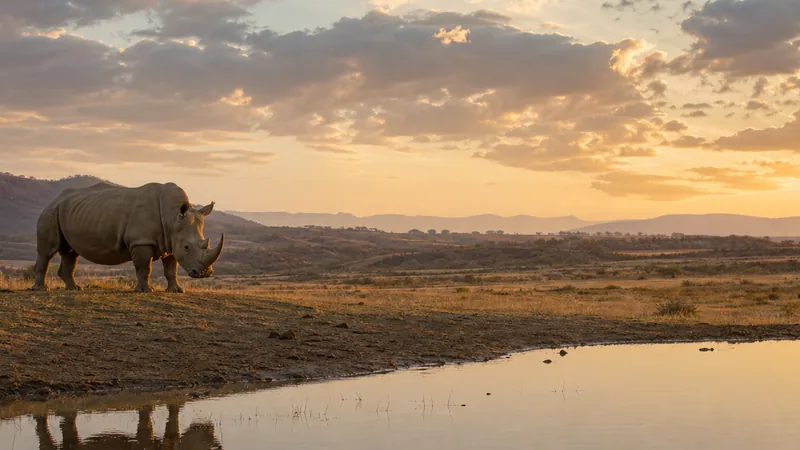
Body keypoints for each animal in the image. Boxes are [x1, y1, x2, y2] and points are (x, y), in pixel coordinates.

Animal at [31, 182, 224, 293]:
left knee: (71, 252)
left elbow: (171, 269)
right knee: (47, 252)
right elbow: (144, 267)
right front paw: (145, 291)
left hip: (69, 211)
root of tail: (55, 199)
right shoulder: (141, 241)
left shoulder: (170, 242)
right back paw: (41, 289)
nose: (204, 274)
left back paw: (74, 289)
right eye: (187, 247)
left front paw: (176, 291)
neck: (173, 217)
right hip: (50, 212)